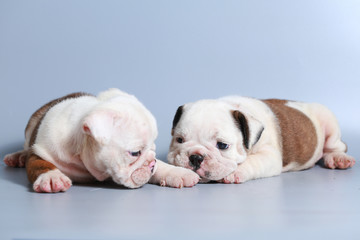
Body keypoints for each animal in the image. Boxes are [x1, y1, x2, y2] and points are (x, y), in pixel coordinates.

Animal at [3, 88, 200, 193]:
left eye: (153, 148)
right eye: (135, 153)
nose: (151, 165)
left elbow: (163, 166)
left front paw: (177, 172)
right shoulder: (40, 150)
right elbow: (41, 164)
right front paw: (51, 177)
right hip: (31, 125)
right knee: (25, 146)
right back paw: (17, 156)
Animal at [168, 96, 354, 183]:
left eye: (222, 145)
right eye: (179, 140)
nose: (195, 157)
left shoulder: (269, 156)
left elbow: (252, 162)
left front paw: (235, 172)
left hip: (329, 120)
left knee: (336, 146)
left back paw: (338, 159)